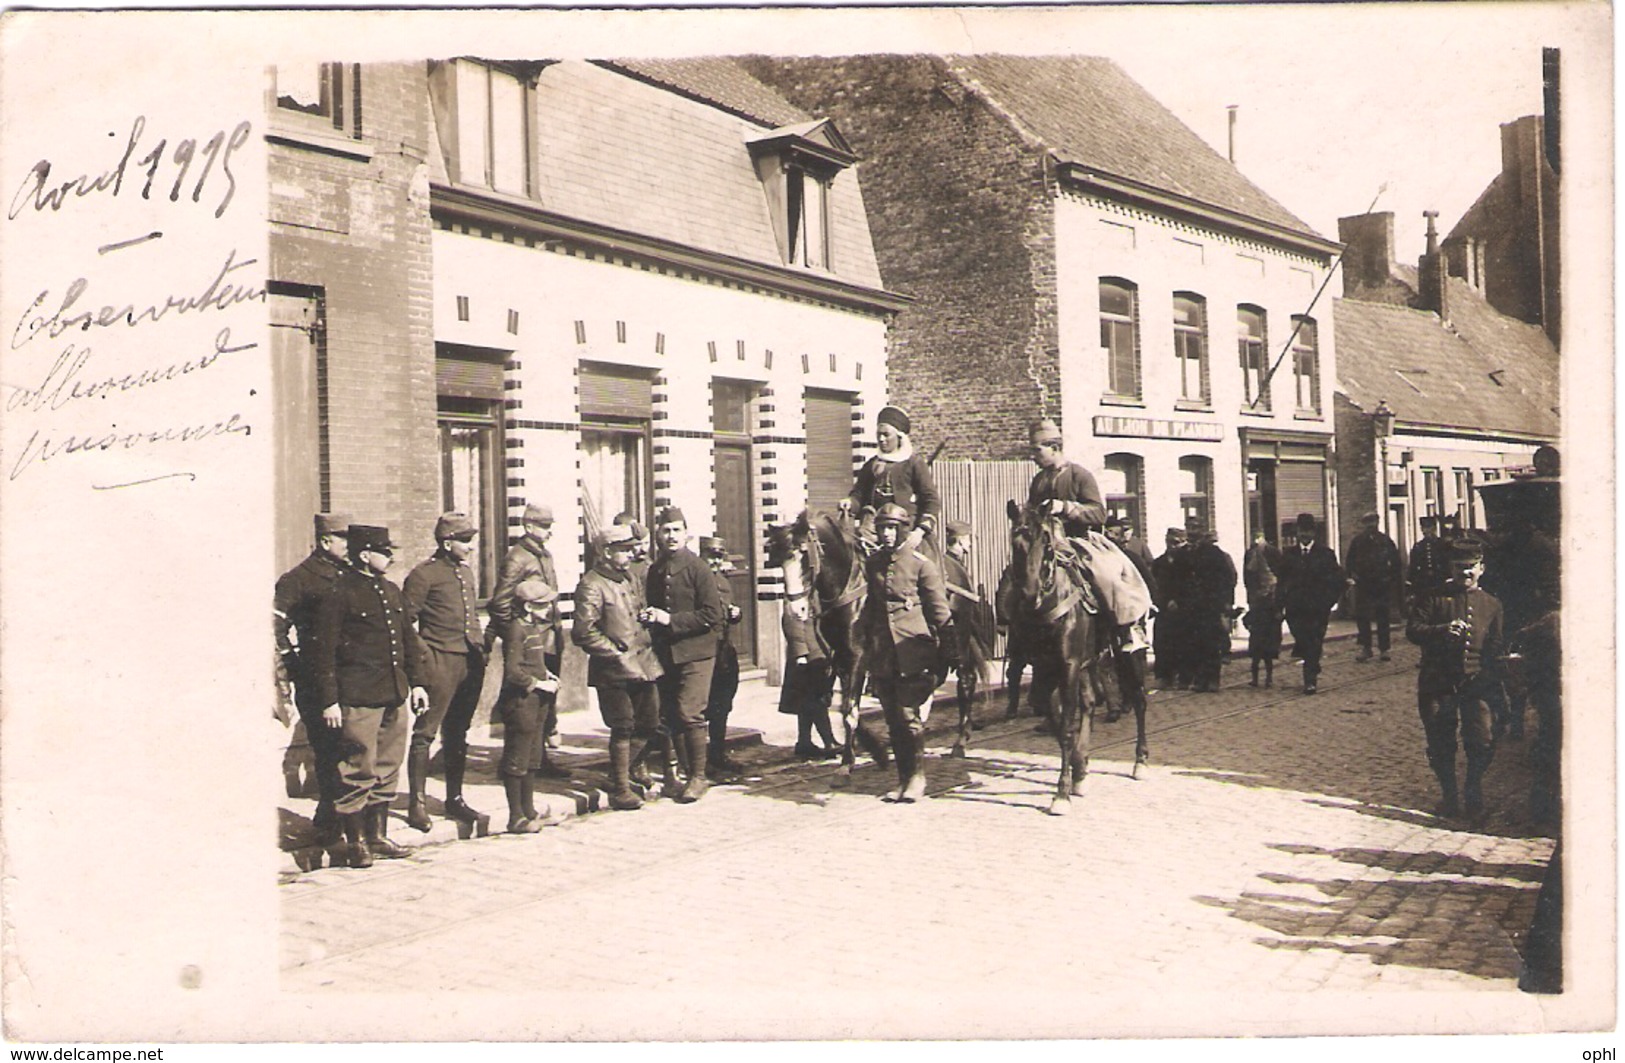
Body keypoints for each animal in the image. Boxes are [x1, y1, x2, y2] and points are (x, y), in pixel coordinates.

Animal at [763, 510, 890, 783]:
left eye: (804, 553)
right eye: (778, 559)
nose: (797, 609)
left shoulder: (857, 657)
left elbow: (849, 712)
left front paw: (849, 761)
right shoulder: (841, 659)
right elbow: (844, 709)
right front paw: (869, 753)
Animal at [1007, 503, 1150, 819]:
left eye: (1047, 542)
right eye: (1015, 542)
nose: (1030, 595)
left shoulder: (1068, 665)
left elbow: (1065, 726)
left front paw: (1061, 794)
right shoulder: (1045, 668)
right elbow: (1056, 720)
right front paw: (1077, 769)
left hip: (1128, 654)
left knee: (1139, 700)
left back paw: (1141, 761)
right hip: (1089, 663)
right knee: (1090, 703)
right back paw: (1082, 767)